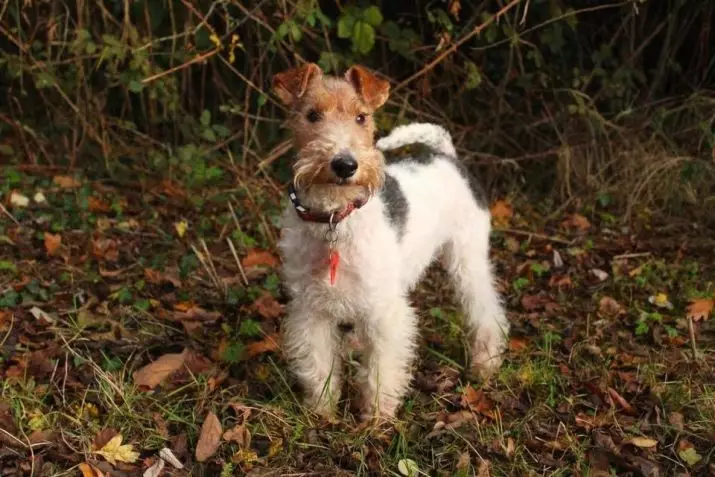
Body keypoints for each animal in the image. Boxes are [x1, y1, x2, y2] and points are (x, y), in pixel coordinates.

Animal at [270, 63, 510, 420]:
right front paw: (322, 411)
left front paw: (375, 418)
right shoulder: (311, 309)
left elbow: (381, 368)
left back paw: (485, 363)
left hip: (467, 258)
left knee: (486, 309)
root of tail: (446, 155)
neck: (335, 218)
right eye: (312, 115)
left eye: (361, 117)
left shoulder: (385, 312)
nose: (345, 165)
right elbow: (319, 363)